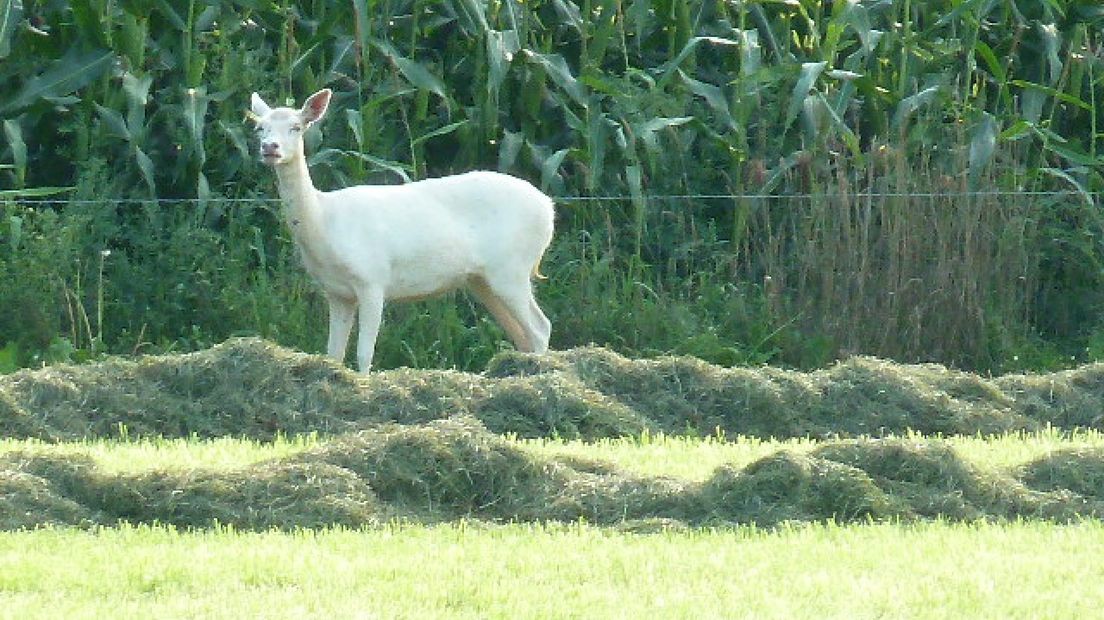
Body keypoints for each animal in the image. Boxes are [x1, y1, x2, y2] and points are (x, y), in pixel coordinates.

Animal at [253, 86, 556, 366]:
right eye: (260, 128)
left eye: (296, 127)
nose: (270, 147)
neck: (324, 223)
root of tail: (549, 208)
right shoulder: (337, 293)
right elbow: (333, 355)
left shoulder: (372, 279)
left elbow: (364, 354)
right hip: (483, 279)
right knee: (522, 335)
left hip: (511, 267)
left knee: (540, 328)